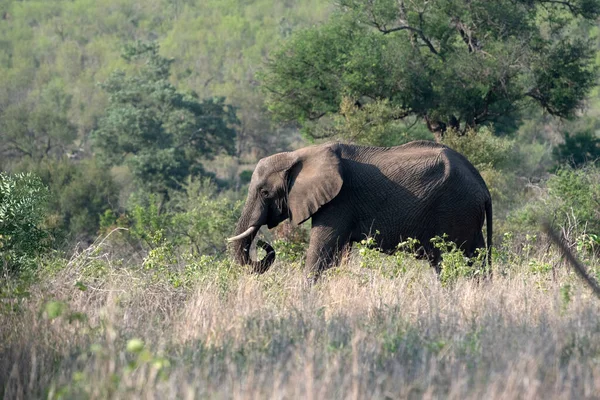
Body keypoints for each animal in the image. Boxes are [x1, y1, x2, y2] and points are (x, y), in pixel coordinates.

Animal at [229, 141, 492, 282]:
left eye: (264, 193)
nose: (263, 244)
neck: (300, 154)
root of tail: (482, 186)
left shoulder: (339, 201)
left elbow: (321, 250)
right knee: (475, 256)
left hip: (454, 209)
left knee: (447, 258)